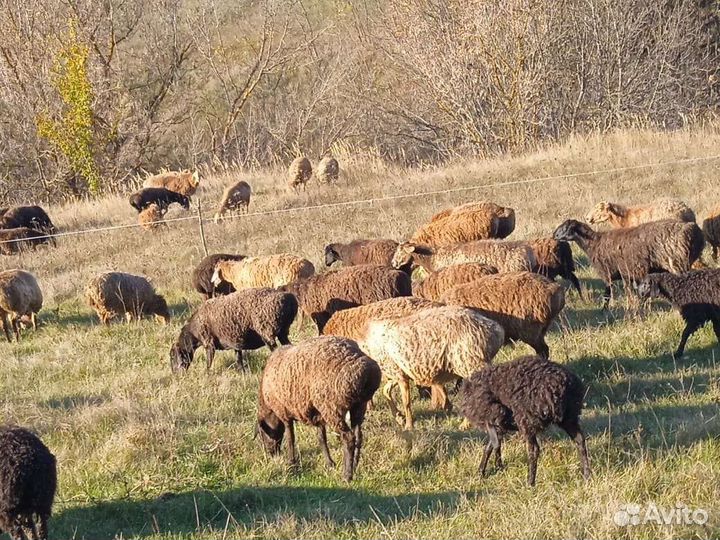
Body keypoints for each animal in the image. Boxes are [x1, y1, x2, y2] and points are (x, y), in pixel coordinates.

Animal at [257, 336, 381, 481]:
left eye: (263, 434)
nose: (271, 454)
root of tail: (366, 372)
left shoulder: (284, 413)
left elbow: (290, 439)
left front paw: (291, 463)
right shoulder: (317, 415)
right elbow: (321, 438)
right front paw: (329, 463)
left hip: (332, 409)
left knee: (348, 438)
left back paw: (347, 475)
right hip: (359, 406)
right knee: (358, 436)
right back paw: (354, 466)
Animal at [362, 306, 504, 429]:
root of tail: (495, 329)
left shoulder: (398, 373)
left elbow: (406, 402)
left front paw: (409, 426)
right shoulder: (398, 373)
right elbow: (386, 391)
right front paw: (399, 418)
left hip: (470, 362)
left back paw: (467, 424)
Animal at [458, 355, 591, 486]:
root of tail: (558, 387)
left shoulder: (493, 415)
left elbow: (494, 443)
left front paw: (492, 467)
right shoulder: (499, 423)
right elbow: (490, 445)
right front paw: (482, 472)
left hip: (527, 419)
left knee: (534, 449)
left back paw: (530, 482)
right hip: (569, 416)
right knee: (580, 439)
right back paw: (586, 475)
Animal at [553, 219, 704, 309]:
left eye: (564, 228)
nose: (554, 236)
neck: (593, 243)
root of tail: (692, 232)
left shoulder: (610, 274)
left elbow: (608, 295)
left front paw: (604, 310)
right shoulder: (627, 275)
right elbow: (632, 292)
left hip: (676, 263)